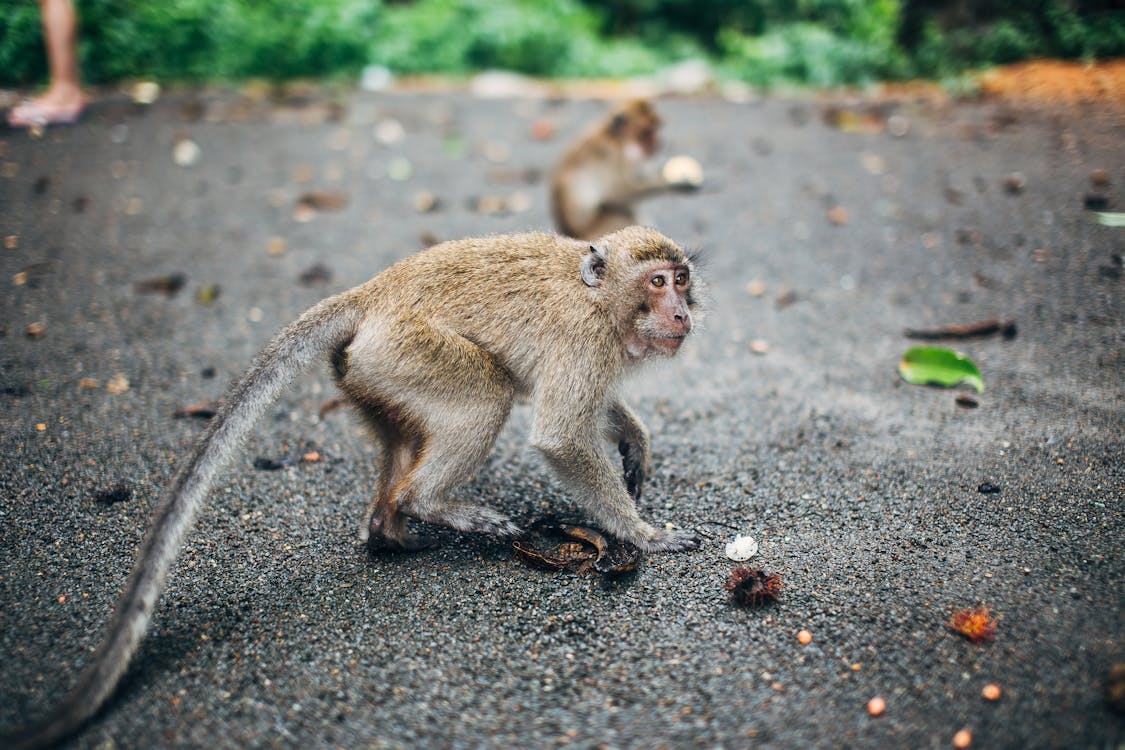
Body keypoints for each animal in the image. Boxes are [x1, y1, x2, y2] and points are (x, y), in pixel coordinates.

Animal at [2, 226, 702, 746]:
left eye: (682, 278)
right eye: (657, 281)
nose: (682, 312)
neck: (601, 300)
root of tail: (371, 293)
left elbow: (593, 416)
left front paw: (634, 440)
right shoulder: (584, 342)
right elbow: (561, 433)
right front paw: (643, 533)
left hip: (368, 370)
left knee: (405, 436)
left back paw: (389, 527)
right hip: (407, 351)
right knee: (485, 393)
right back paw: (429, 505)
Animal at [551, 98, 697, 240]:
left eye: (654, 131)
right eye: (647, 133)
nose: (658, 144)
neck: (614, 138)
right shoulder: (614, 158)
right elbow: (620, 193)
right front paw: (673, 184)